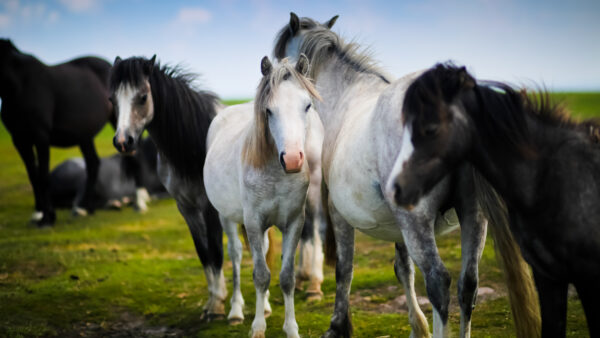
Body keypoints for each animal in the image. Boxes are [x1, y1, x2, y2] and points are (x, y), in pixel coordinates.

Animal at [0, 38, 113, 226]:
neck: (20, 85)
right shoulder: (20, 139)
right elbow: (33, 176)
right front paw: (38, 213)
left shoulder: (41, 137)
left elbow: (43, 176)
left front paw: (47, 218)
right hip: (84, 136)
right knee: (93, 163)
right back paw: (85, 208)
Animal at [109, 56, 229, 322]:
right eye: (112, 99)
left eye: (143, 97)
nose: (123, 142)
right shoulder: (186, 208)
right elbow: (203, 252)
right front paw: (212, 301)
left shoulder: (209, 208)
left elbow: (216, 251)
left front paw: (217, 307)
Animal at [203, 55, 324, 338]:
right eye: (268, 111)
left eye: (307, 106)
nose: (292, 160)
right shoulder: (254, 223)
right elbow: (260, 275)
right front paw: (258, 328)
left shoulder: (294, 222)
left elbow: (286, 276)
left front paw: (291, 328)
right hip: (227, 217)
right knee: (236, 255)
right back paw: (236, 311)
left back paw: (266, 306)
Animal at [272, 13, 540, 338]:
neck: (347, 95)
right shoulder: (396, 225)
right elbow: (403, 269)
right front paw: (417, 327)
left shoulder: (340, 213)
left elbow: (344, 270)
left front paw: (338, 326)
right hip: (473, 216)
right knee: (468, 285)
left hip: (417, 221)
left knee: (439, 282)